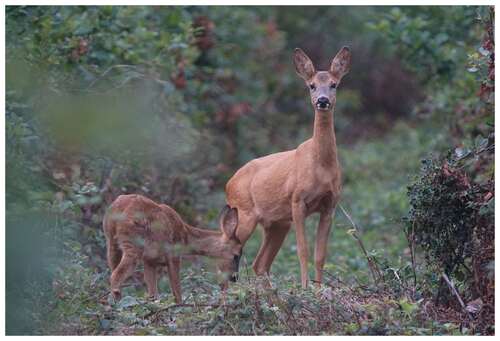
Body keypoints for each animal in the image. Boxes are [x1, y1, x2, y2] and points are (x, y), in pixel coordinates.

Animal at [103, 193, 240, 302]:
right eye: (236, 255)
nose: (234, 277)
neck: (186, 237)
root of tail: (119, 208)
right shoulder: (173, 254)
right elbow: (176, 290)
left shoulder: (150, 260)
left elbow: (153, 292)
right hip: (133, 242)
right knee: (115, 275)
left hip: (111, 241)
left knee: (113, 268)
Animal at [225, 46, 350, 288]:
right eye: (311, 85)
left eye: (334, 84)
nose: (322, 100)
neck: (321, 166)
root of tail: (229, 183)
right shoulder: (297, 200)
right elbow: (303, 251)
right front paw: (304, 288)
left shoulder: (330, 205)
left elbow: (320, 254)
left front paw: (318, 290)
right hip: (244, 213)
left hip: (276, 223)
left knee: (260, 264)